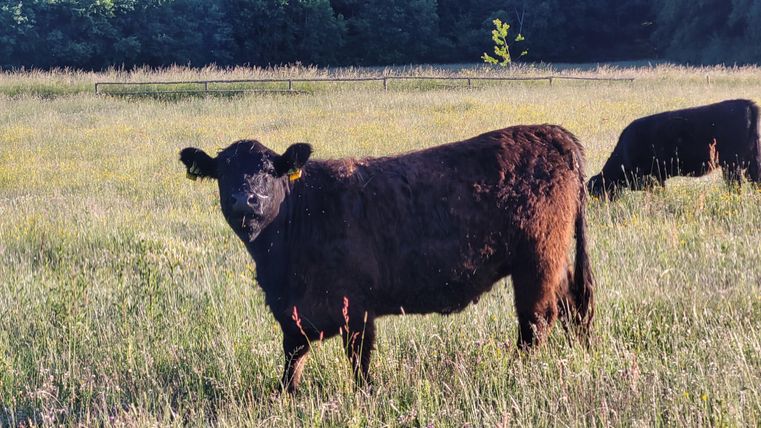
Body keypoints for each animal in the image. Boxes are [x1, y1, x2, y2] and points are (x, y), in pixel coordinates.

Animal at [179, 125, 595, 393]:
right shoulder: (293, 314)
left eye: (269, 171)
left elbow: (359, 364)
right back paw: (579, 354)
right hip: (553, 262)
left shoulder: (357, 309)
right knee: (573, 305)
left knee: (536, 321)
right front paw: (285, 396)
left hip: (537, 260)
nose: (246, 200)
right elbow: (292, 359)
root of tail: (552, 133)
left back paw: (516, 373)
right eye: (223, 174)